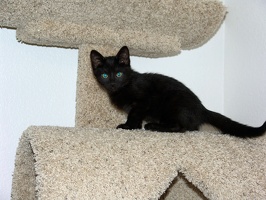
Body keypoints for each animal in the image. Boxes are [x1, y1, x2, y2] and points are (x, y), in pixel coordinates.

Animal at [91, 46, 266, 138]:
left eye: (119, 74)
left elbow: (134, 114)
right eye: (105, 75)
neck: (125, 86)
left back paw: (154, 126)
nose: (112, 84)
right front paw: (134, 127)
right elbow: (135, 115)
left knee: (181, 128)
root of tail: (202, 109)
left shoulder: (143, 101)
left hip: (174, 103)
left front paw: (128, 127)